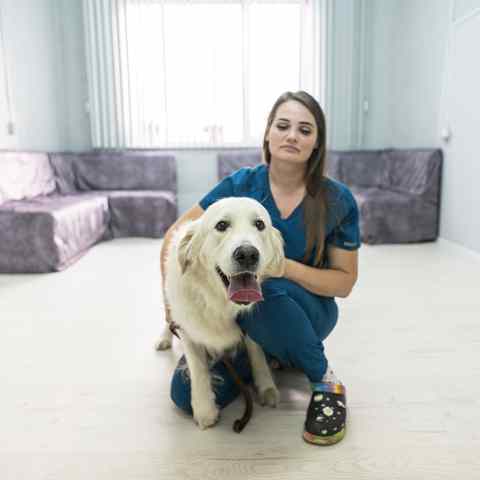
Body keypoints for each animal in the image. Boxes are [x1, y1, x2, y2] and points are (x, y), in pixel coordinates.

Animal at [157, 197, 285, 429]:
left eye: (259, 224)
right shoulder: (188, 332)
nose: (247, 254)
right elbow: (198, 369)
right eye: (222, 225)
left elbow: (257, 354)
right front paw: (204, 409)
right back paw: (163, 339)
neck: (218, 302)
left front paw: (266, 387)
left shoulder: (249, 331)